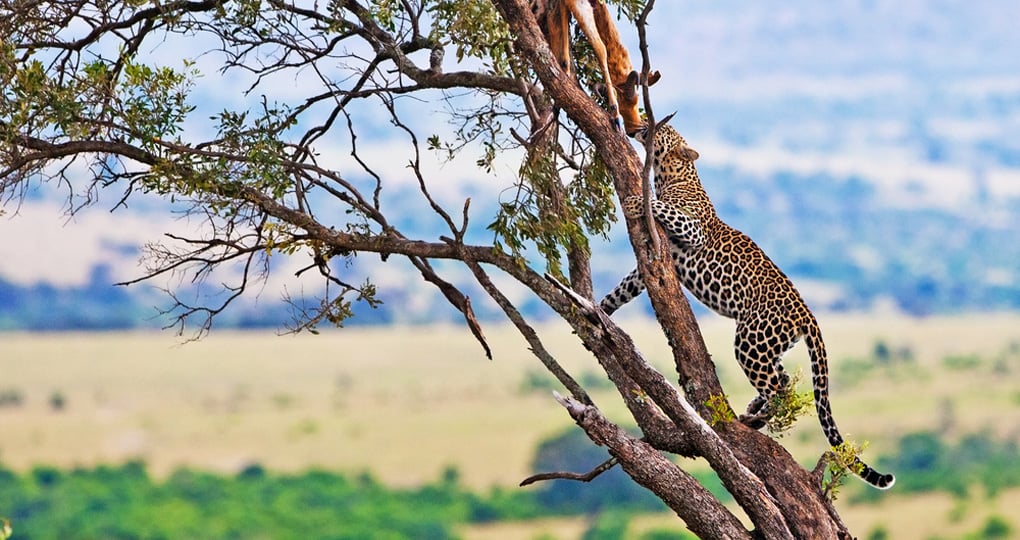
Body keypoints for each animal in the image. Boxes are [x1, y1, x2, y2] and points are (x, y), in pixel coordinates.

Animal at [600, 122, 895, 489]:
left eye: (665, 127)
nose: (640, 121)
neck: (669, 175)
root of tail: (807, 313)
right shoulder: (650, 264)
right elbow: (622, 290)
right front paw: (599, 310)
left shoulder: (692, 230)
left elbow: (662, 208)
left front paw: (635, 200)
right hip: (769, 345)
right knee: (783, 378)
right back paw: (755, 406)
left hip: (751, 340)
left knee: (780, 389)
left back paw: (756, 415)